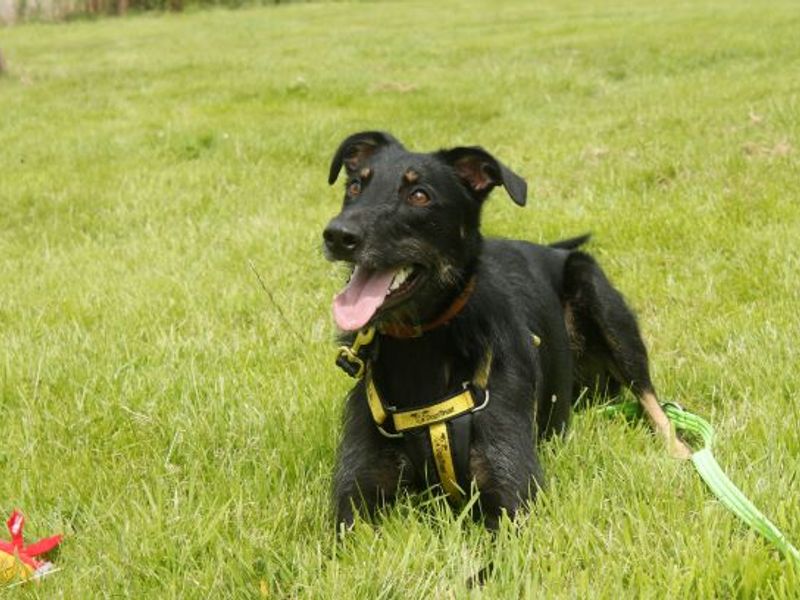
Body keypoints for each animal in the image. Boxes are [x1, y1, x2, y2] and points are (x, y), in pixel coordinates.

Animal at [322, 131, 692, 528]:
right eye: (355, 186)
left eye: (419, 195)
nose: (337, 235)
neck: (421, 347)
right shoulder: (356, 494)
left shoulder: (512, 494)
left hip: (599, 296)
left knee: (653, 401)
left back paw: (680, 453)